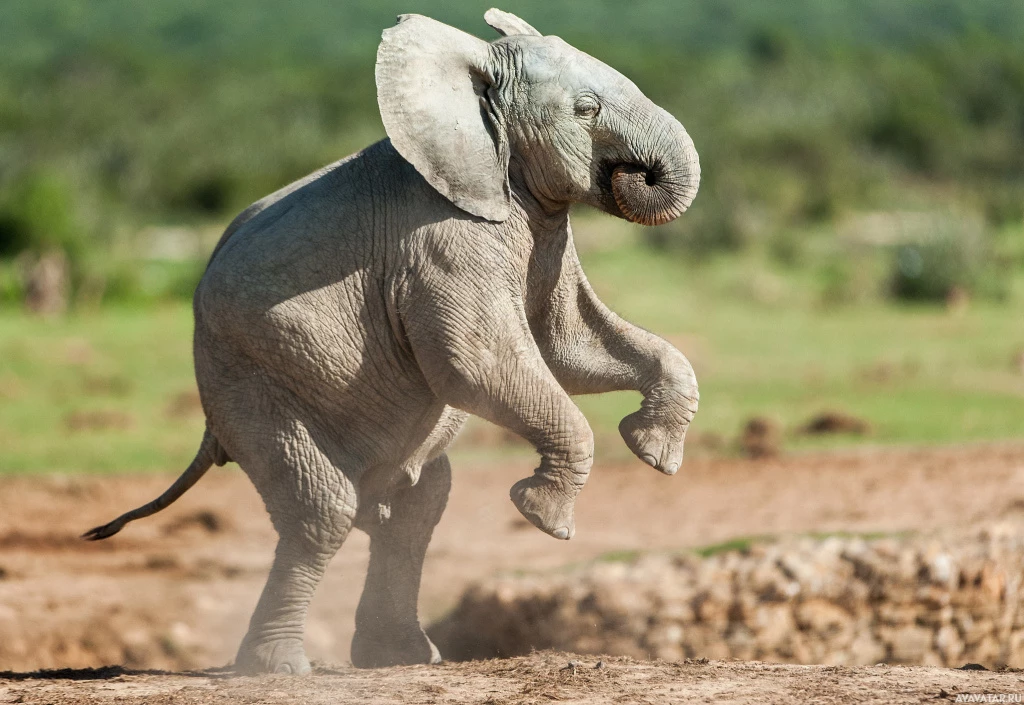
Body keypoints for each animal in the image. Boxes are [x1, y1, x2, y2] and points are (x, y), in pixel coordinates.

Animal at [88, 8, 700, 676]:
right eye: (586, 110)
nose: (634, 171)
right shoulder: (441, 241)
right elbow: (476, 365)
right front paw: (543, 516)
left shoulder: (541, 233)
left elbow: (573, 348)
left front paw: (654, 452)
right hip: (243, 378)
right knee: (322, 510)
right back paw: (278, 668)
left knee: (416, 507)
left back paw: (401, 658)